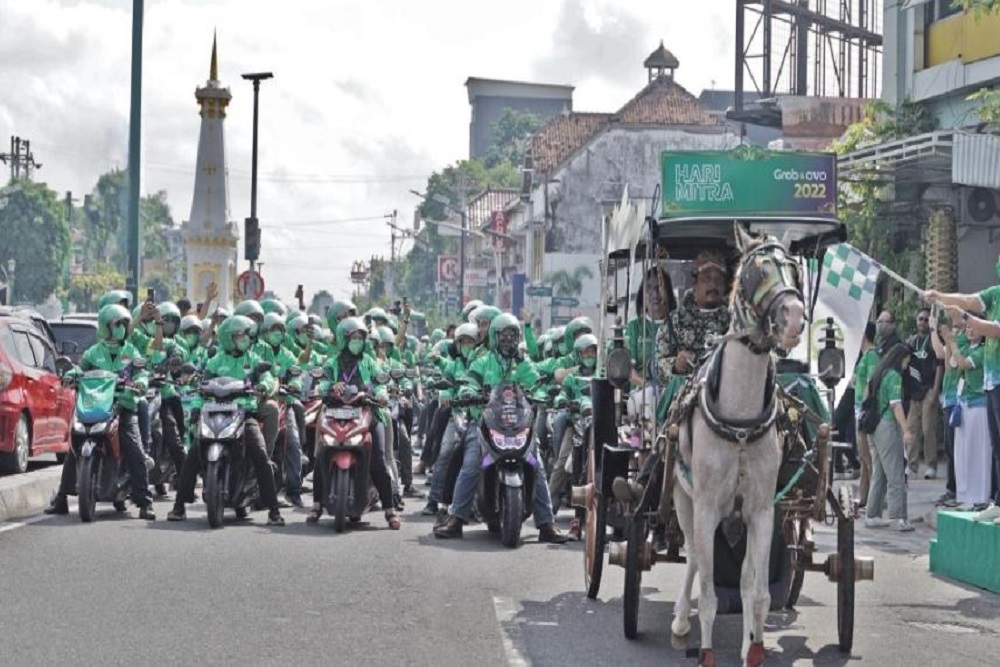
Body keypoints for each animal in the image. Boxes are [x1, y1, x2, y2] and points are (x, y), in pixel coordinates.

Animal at [668, 227, 808, 664]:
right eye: (755, 272)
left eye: (794, 269)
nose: (793, 318)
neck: (741, 423)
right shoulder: (706, 506)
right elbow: (710, 595)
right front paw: (705, 651)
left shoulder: (763, 511)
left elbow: (758, 593)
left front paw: (754, 648)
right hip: (683, 500)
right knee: (694, 557)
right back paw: (680, 623)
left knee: (742, 576)